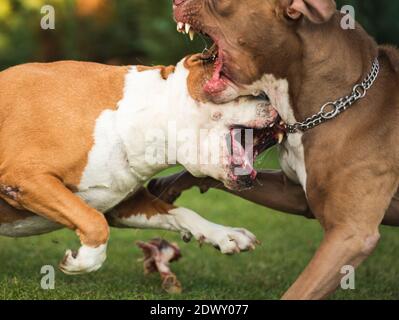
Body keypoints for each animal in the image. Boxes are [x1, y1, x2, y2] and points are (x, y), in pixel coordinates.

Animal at [0, 53, 278, 274]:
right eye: (257, 93)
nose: (276, 106)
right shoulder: (25, 177)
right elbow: (94, 223)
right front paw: (82, 261)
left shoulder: (122, 204)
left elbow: (180, 212)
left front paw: (224, 234)